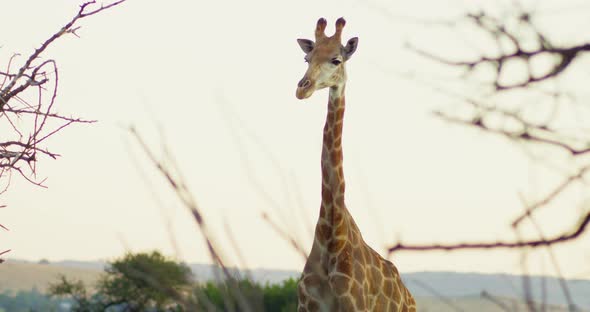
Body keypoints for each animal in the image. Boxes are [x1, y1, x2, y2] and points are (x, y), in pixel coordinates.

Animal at [294, 17, 416, 312]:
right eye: (307, 58)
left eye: (336, 60)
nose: (302, 88)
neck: (331, 234)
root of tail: (409, 297)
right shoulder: (305, 306)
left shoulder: (355, 306)